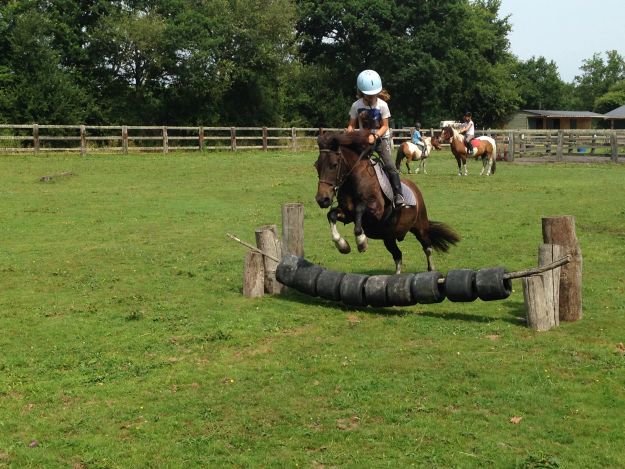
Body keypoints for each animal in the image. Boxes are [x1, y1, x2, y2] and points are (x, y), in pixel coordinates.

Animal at [312, 130, 458, 272]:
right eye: (316, 166)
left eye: (334, 165)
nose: (322, 199)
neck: (353, 182)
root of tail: (416, 190)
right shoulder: (348, 215)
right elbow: (331, 215)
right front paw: (342, 245)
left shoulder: (376, 211)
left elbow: (360, 209)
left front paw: (361, 242)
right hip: (389, 237)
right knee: (398, 256)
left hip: (420, 227)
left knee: (427, 247)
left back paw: (432, 269)